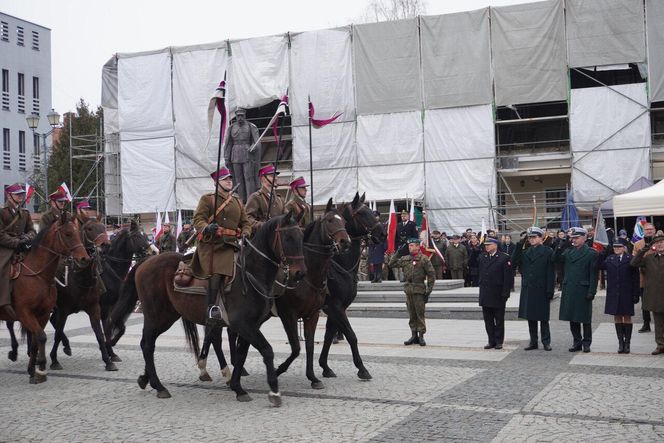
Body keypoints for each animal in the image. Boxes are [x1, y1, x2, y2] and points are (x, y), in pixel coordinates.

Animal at [0, 214, 89, 386]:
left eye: (79, 233)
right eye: (68, 234)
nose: (84, 259)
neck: (38, 275)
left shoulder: (43, 314)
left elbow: (36, 341)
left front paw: (32, 371)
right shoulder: (24, 313)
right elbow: (41, 336)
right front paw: (41, 368)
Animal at [49, 218, 111, 372]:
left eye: (103, 227)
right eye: (89, 229)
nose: (105, 246)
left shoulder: (94, 307)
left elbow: (99, 334)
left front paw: (108, 361)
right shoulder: (64, 309)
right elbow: (58, 333)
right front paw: (54, 360)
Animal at [109, 212, 306, 406]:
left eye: (301, 237)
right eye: (288, 238)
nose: (300, 273)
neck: (251, 274)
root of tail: (146, 261)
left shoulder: (251, 326)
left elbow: (242, 354)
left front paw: (237, 387)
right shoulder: (243, 325)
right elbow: (267, 350)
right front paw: (274, 390)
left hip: (168, 316)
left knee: (149, 343)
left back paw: (146, 378)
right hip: (154, 314)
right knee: (147, 344)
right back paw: (159, 386)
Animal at [316, 193, 384, 382]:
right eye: (361, 213)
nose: (382, 233)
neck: (340, 266)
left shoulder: (335, 308)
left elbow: (328, 336)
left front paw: (325, 366)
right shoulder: (336, 307)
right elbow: (351, 336)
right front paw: (362, 368)